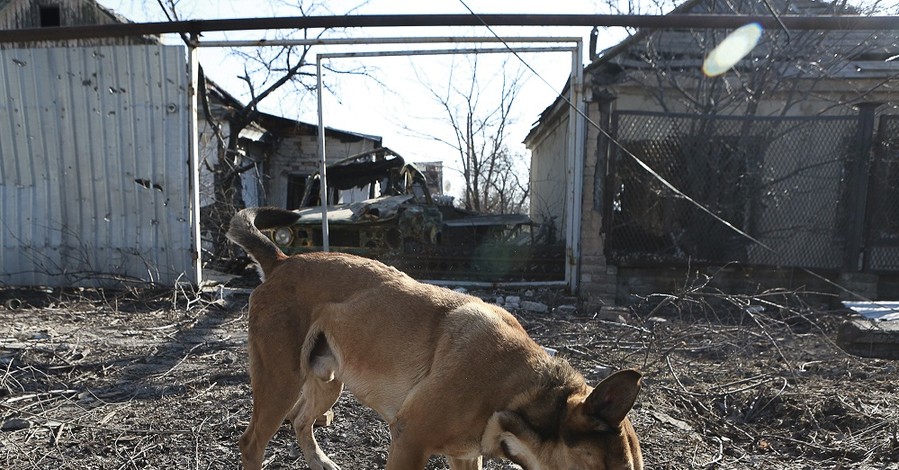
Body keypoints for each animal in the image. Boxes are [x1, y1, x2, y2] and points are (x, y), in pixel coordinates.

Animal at [229, 208, 644, 470]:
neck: (519, 387)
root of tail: (282, 261)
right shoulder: (409, 441)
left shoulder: (465, 455)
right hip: (281, 380)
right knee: (252, 443)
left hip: (328, 379)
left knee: (301, 421)